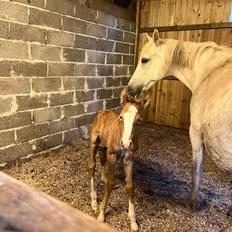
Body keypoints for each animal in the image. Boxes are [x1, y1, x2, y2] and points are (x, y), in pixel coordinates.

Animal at [88, 89, 146, 231]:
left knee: (102, 159)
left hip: (105, 146)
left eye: (138, 120)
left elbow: (130, 186)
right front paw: (101, 215)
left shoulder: (129, 158)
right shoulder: (112, 155)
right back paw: (94, 200)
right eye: (121, 117)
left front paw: (133, 221)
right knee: (92, 166)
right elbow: (110, 183)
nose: (125, 144)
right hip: (94, 141)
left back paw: (103, 177)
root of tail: (102, 112)